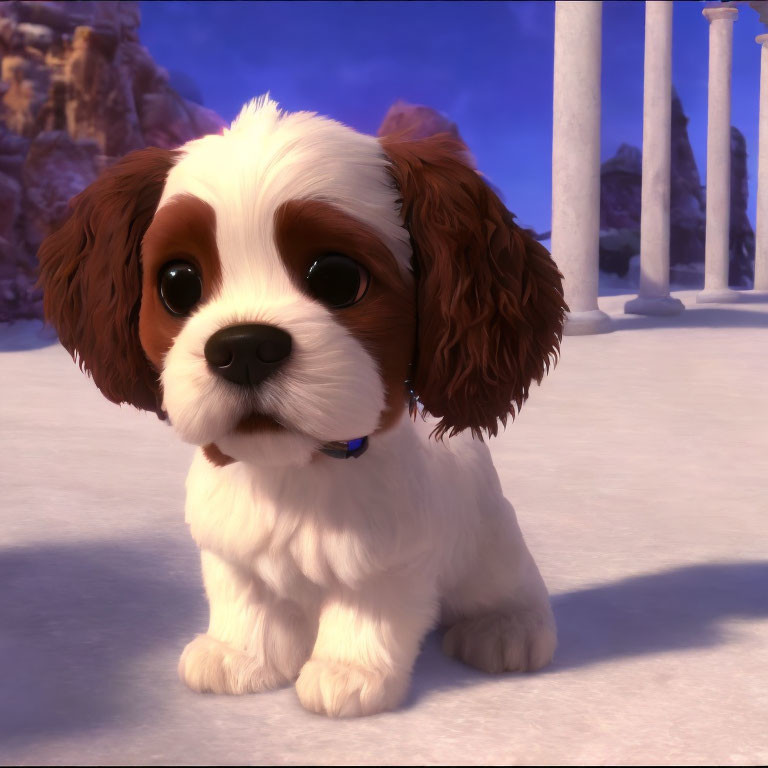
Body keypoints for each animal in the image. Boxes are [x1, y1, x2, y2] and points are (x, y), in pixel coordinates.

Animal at [39, 97, 568, 720]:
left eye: (338, 278)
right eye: (177, 284)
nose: (244, 347)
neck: (293, 472)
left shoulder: (389, 561)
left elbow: (367, 614)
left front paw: (349, 674)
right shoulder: (228, 549)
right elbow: (244, 602)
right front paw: (239, 657)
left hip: (492, 545)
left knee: (504, 584)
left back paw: (507, 629)